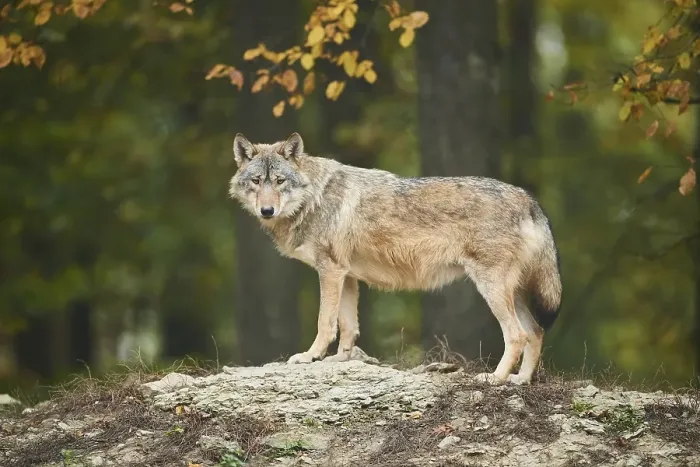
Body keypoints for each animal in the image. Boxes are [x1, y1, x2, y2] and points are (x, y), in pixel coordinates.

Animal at [228, 132, 562, 385]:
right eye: (256, 181)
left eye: (279, 181)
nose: (267, 210)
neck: (313, 199)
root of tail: (528, 199)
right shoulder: (347, 276)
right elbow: (348, 327)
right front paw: (340, 361)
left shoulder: (330, 271)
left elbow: (325, 322)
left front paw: (311, 357)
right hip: (511, 292)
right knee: (536, 331)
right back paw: (521, 380)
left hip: (492, 288)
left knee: (517, 335)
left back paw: (495, 378)